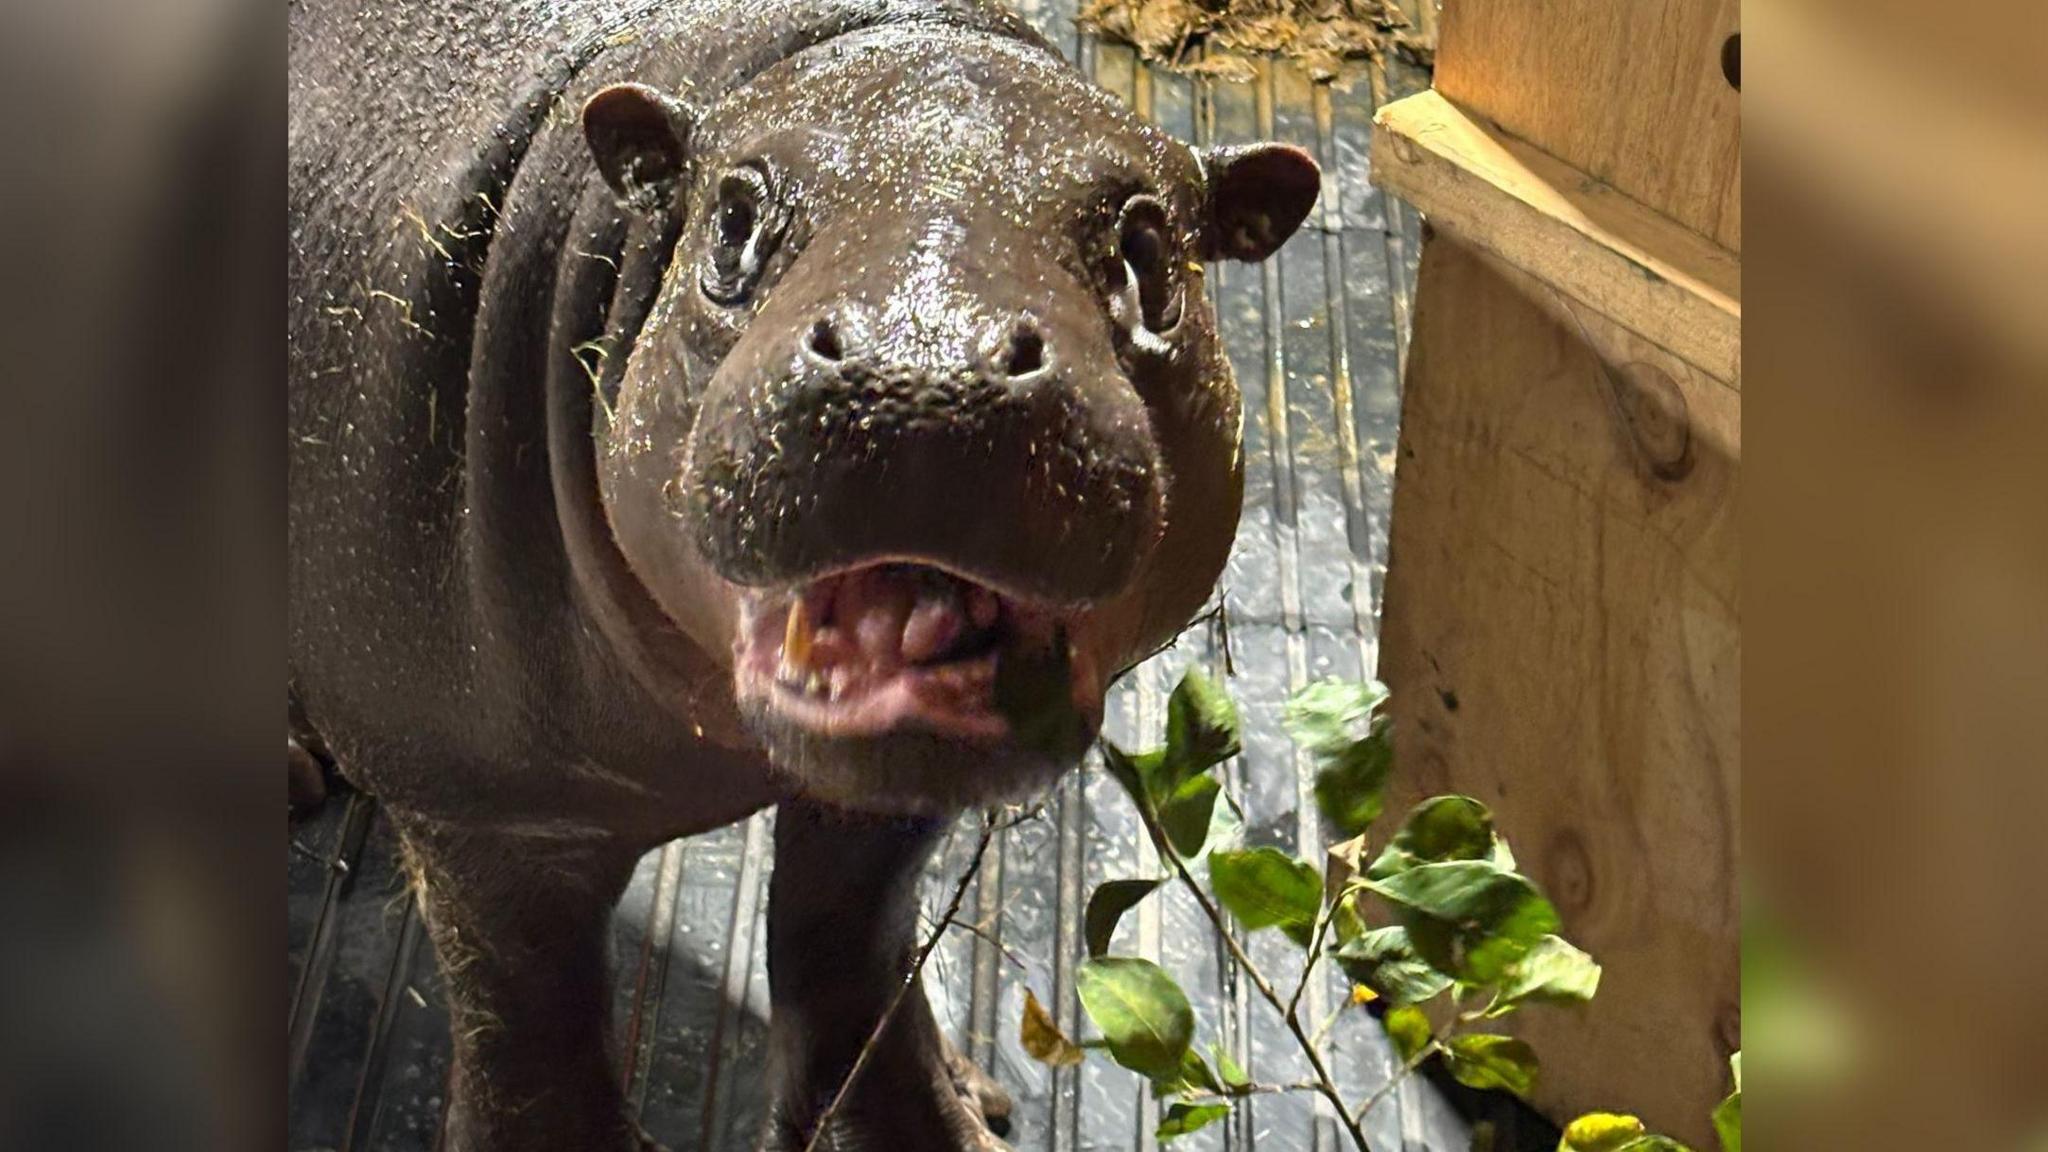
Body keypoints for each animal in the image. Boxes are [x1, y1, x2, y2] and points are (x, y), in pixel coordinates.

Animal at [288, 0, 1317, 1147]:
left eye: (1151, 253)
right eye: (732, 220)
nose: (927, 372)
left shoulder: (882, 809)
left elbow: (842, 941)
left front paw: (949, 1122)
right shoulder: (483, 803)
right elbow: (524, 1010)